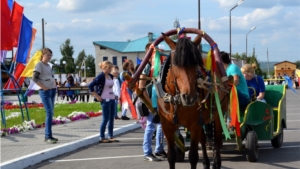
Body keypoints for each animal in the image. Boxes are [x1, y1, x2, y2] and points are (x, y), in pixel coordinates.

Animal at [157, 33, 230, 169]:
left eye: (195, 63)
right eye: (175, 63)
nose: (189, 97)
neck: (176, 100)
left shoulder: (194, 125)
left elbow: (193, 157)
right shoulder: (167, 126)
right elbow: (171, 156)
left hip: (218, 115)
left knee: (217, 139)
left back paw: (216, 162)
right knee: (203, 139)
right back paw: (206, 162)